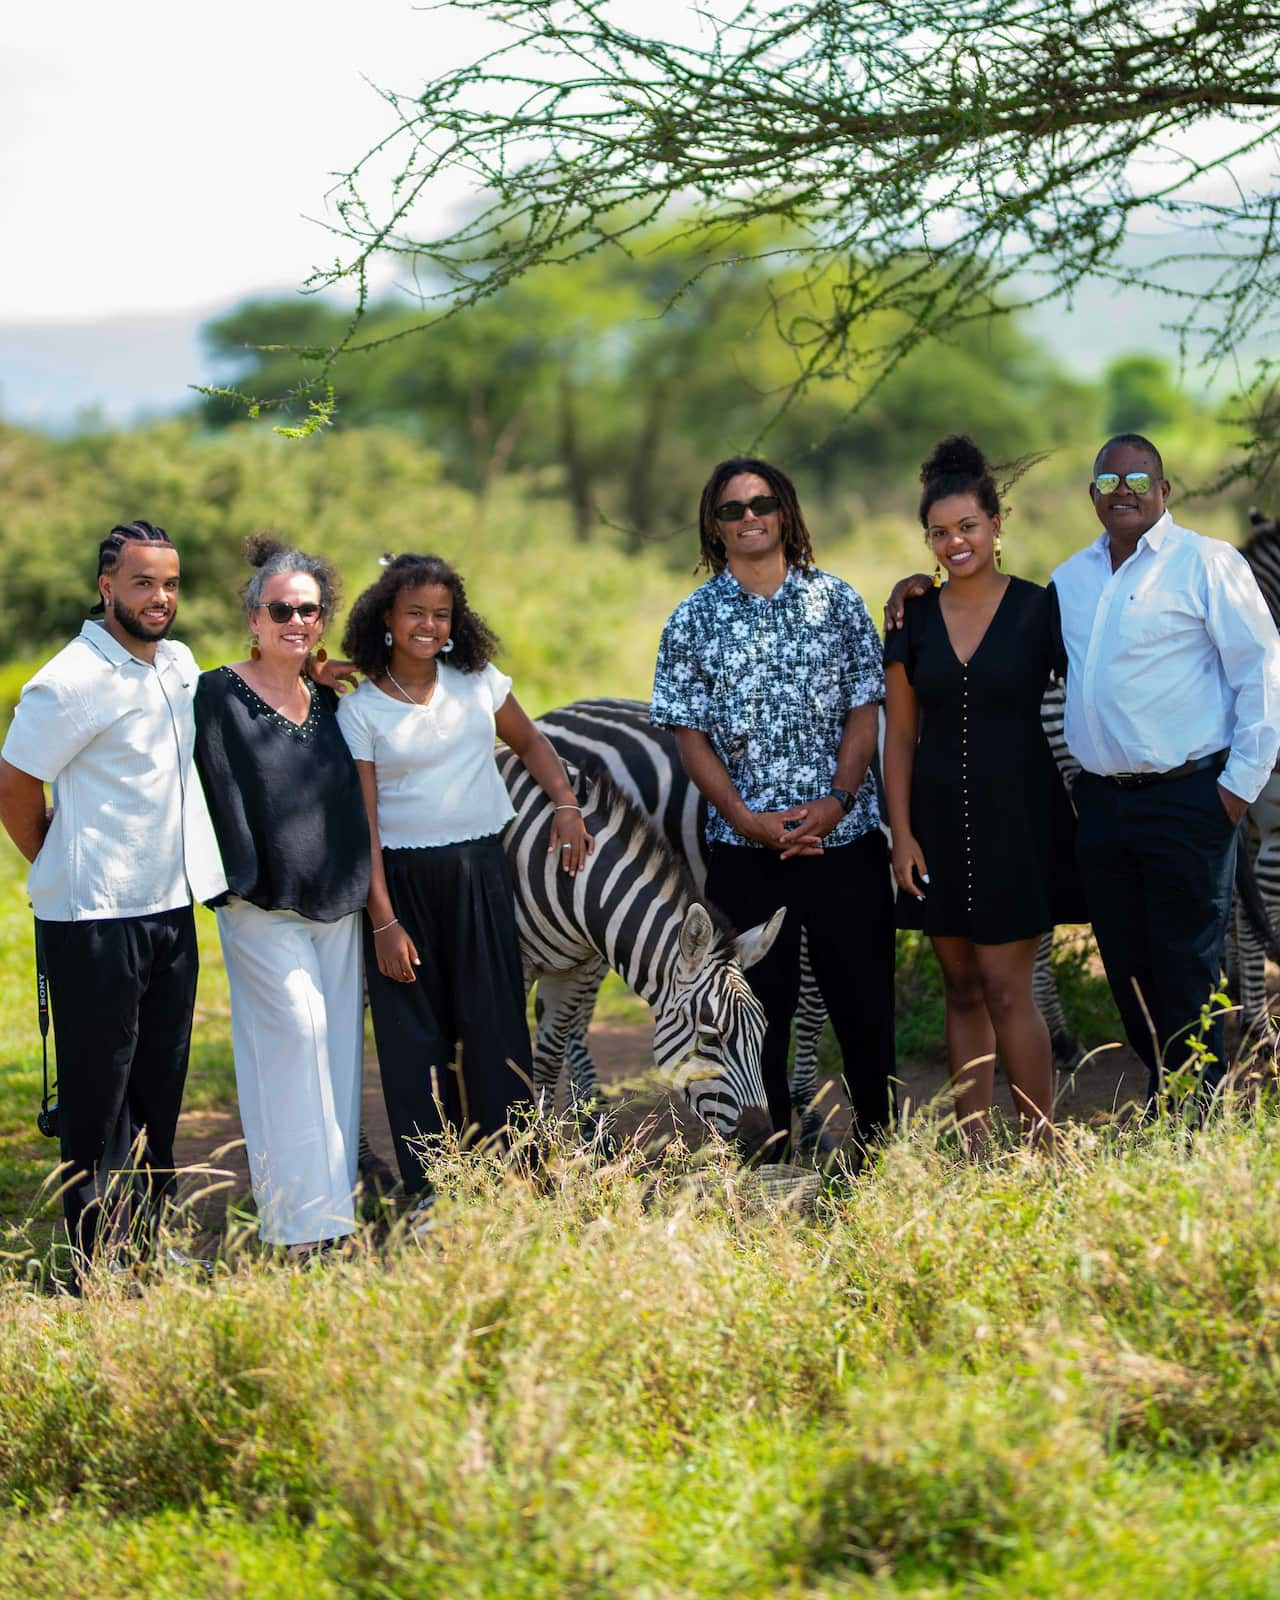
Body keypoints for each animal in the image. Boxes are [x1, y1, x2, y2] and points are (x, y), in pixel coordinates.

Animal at [496, 742, 780, 1158]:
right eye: (711, 1038)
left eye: (762, 1032)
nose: (765, 1146)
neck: (569, 877)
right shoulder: (511, 963)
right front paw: (510, 1155)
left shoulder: (576, 968)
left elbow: (546, 1061)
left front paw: (542, 1154)